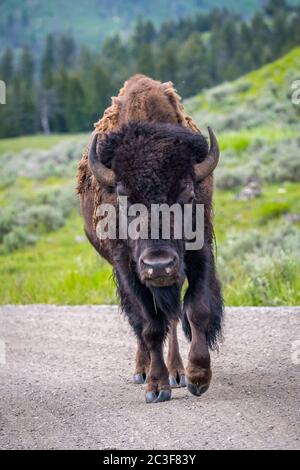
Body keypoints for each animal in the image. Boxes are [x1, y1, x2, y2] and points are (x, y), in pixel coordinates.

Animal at [77, 74, 223, 404]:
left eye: (187, 194)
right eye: (123, 197)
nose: (159, 265)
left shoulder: (198, 253)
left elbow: (196, 309)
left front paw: (198, 377)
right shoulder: (127, 268)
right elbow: (150, 326)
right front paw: (156, 387)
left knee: (172, 317)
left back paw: (178, 373)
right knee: (142, 322)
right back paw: (143, 371)